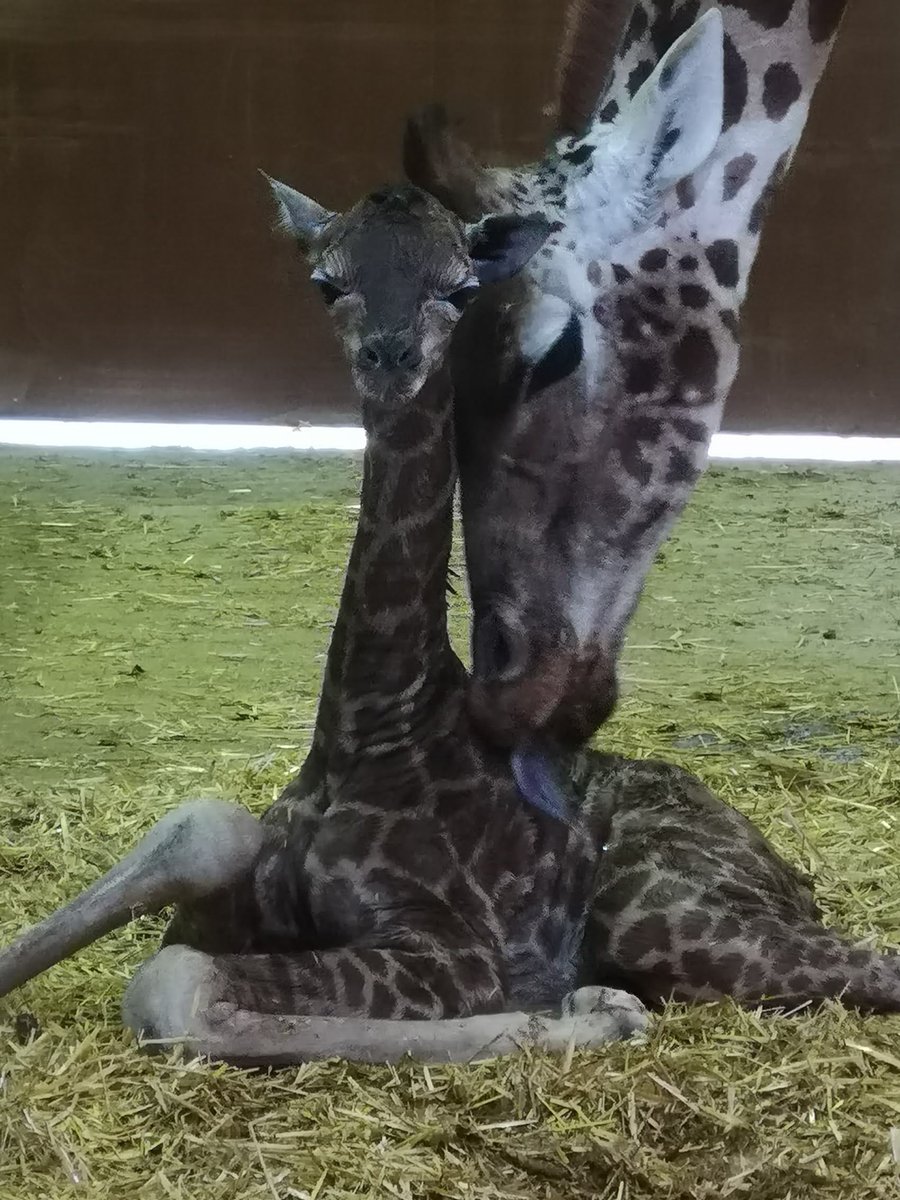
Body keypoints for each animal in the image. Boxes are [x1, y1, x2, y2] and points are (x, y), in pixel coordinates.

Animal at [0, 181, 648, 1064]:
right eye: (327, 282)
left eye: (461, 288)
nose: (390, 357)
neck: (366, 731)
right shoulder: (229, 894)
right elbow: (208, 827)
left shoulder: (453, 945)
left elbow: (173, 985)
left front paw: (600, 1012)